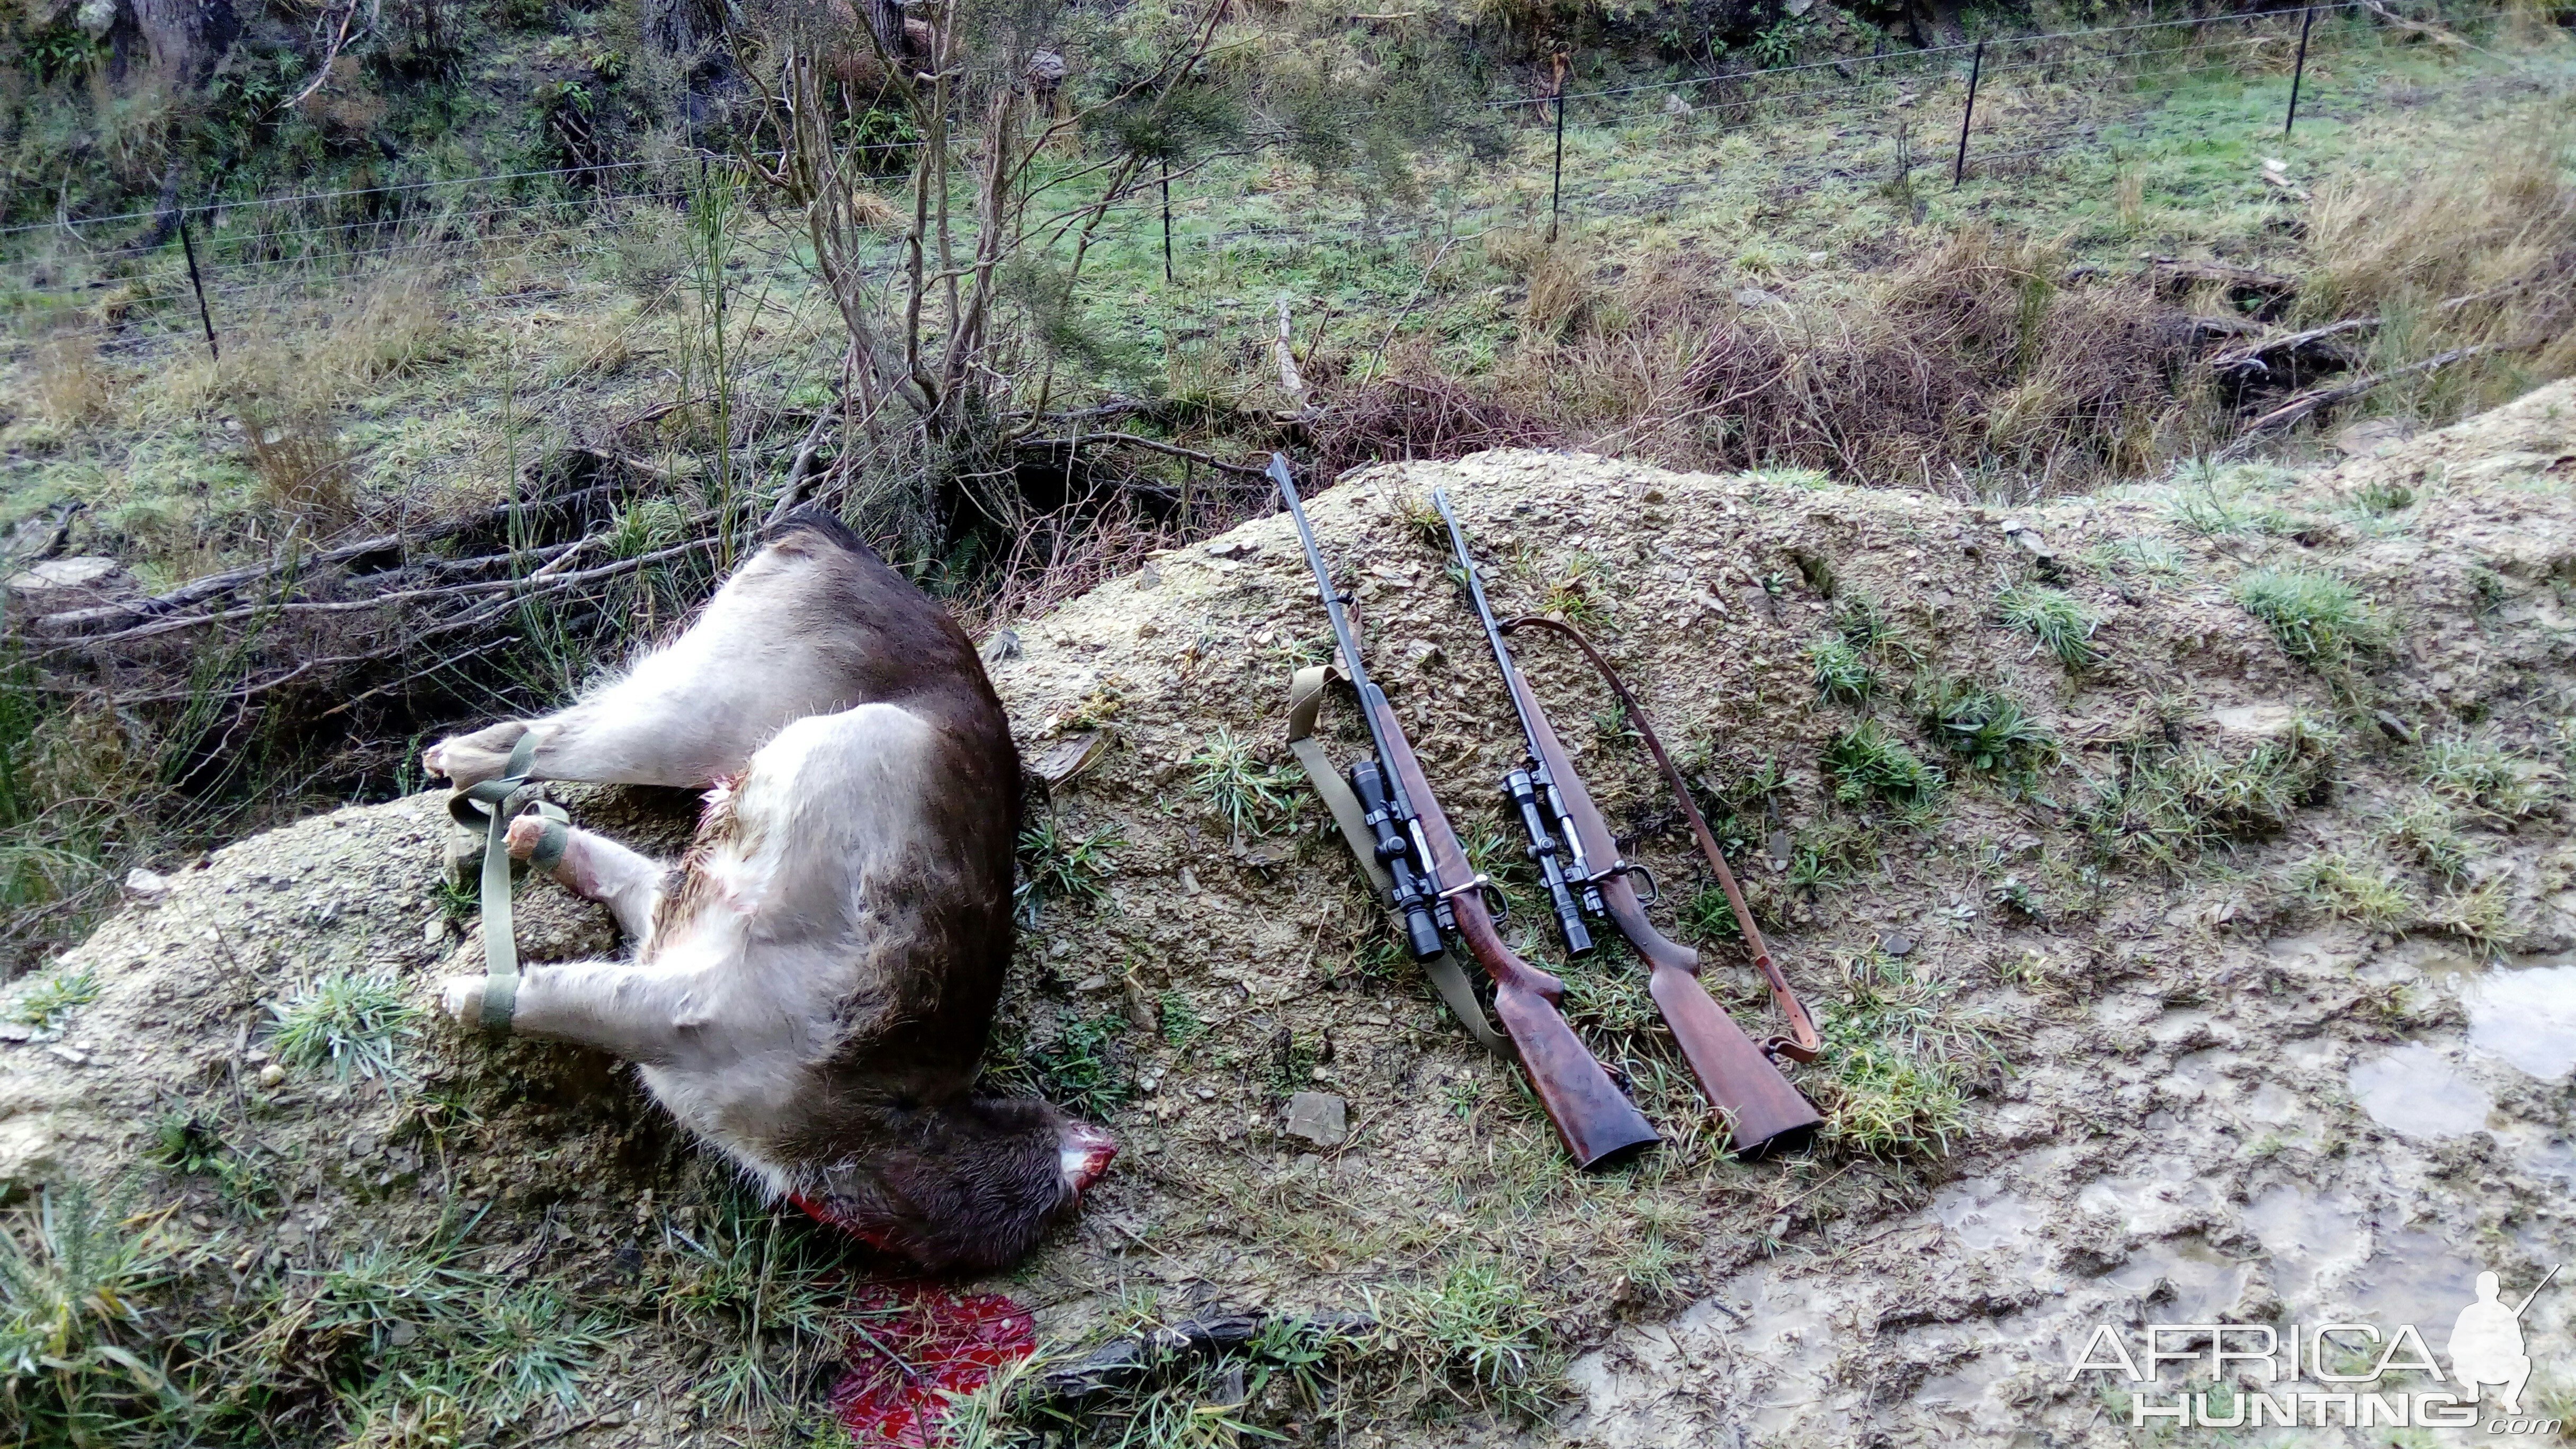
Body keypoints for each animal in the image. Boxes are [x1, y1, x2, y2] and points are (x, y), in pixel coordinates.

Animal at [419, 505, 1107, 1263]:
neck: (886, 1113)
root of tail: (846, 543)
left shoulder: (676, 929)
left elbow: (627, 891)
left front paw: (537, 850)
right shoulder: (688, 1013)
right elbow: (570, 999)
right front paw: (461, 996)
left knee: (522, 743)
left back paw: (502, 811)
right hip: (708, 711)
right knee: (535, 740)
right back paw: (451, 763)